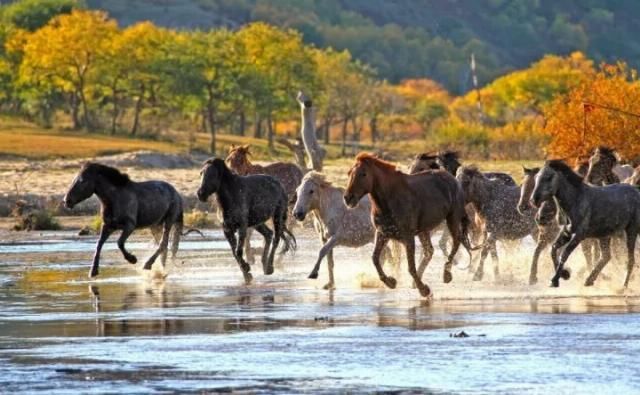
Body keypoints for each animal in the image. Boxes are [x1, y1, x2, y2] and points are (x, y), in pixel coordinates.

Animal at [342, 153, 472, 298]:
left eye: (363, 174)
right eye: (349, 173)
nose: (348, 198)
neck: (389, 201)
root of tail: (452, 178)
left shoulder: (408, 237)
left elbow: (410, 267)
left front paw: (424, 290)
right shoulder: (382, 233)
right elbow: (375, 258)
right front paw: (391, 282)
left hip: (452, 219)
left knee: (456, 241)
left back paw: (446, 275)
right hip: (424, 230)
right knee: (429, 251)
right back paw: (418, 281)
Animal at [528, 160, 640, 288]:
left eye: (549, 177)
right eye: (536, 177)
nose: (533, 200)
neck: (575, 201)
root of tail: (637, 191)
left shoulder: (579, 235)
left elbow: (564, 254)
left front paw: (555, 280)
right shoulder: (566, 233)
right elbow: (553, 250)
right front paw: (565, 274)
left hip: (631, 231)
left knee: (630, 259)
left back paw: (623, 286)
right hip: (607, 235)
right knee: (607, 256)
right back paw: (589, 280)